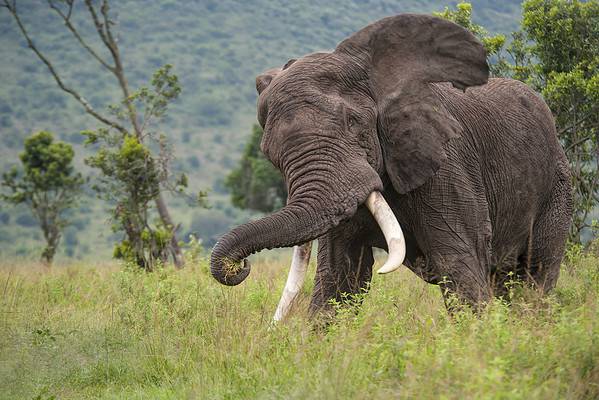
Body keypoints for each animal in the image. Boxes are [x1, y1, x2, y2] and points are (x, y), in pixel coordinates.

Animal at [210, 11, 572, 318]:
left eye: (354, 123)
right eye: (270, 154)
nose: (238, 268)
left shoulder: (448, 167)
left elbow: (459, 264)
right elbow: (338, 277)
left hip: (557, 187)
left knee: (535, 275)